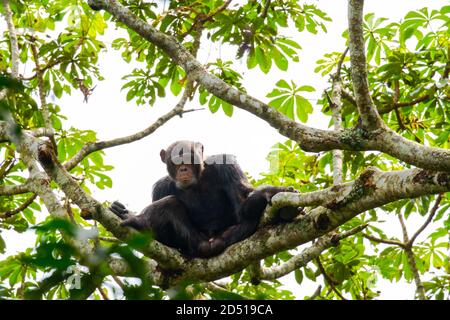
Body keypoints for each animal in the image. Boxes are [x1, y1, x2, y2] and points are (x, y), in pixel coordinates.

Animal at [110, 140, 298, 258]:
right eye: (175, 161)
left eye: (188, 157)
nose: (183, 168)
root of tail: (209, 245)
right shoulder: (160, 188)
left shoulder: (227, 166)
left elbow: (242, 203)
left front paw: (270, 191)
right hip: (193, 241)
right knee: (169, 203)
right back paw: (138, 221)